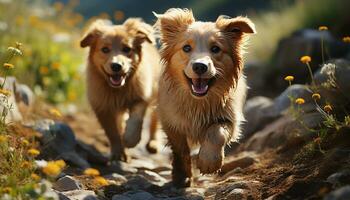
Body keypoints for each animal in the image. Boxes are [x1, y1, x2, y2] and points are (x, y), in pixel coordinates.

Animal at [80, 18, 160, 162]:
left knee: (155, 119)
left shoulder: (141, 96)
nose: (116, 66)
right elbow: (112, 132)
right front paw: (119, 152)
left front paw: (130, 139)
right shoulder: (102, 107)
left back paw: (153, 143)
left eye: (127, 49)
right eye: (105, 49)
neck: (118, 90)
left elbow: (135, 119)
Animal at [154, 8, 256, 187]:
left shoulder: (229, 117)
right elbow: (180, 149)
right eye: (186, 48)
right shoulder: (170, 121)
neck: (198, 102)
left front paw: (209, 162)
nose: (200, 66)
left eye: (215, 49)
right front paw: (182, 175)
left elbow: (216, 134)